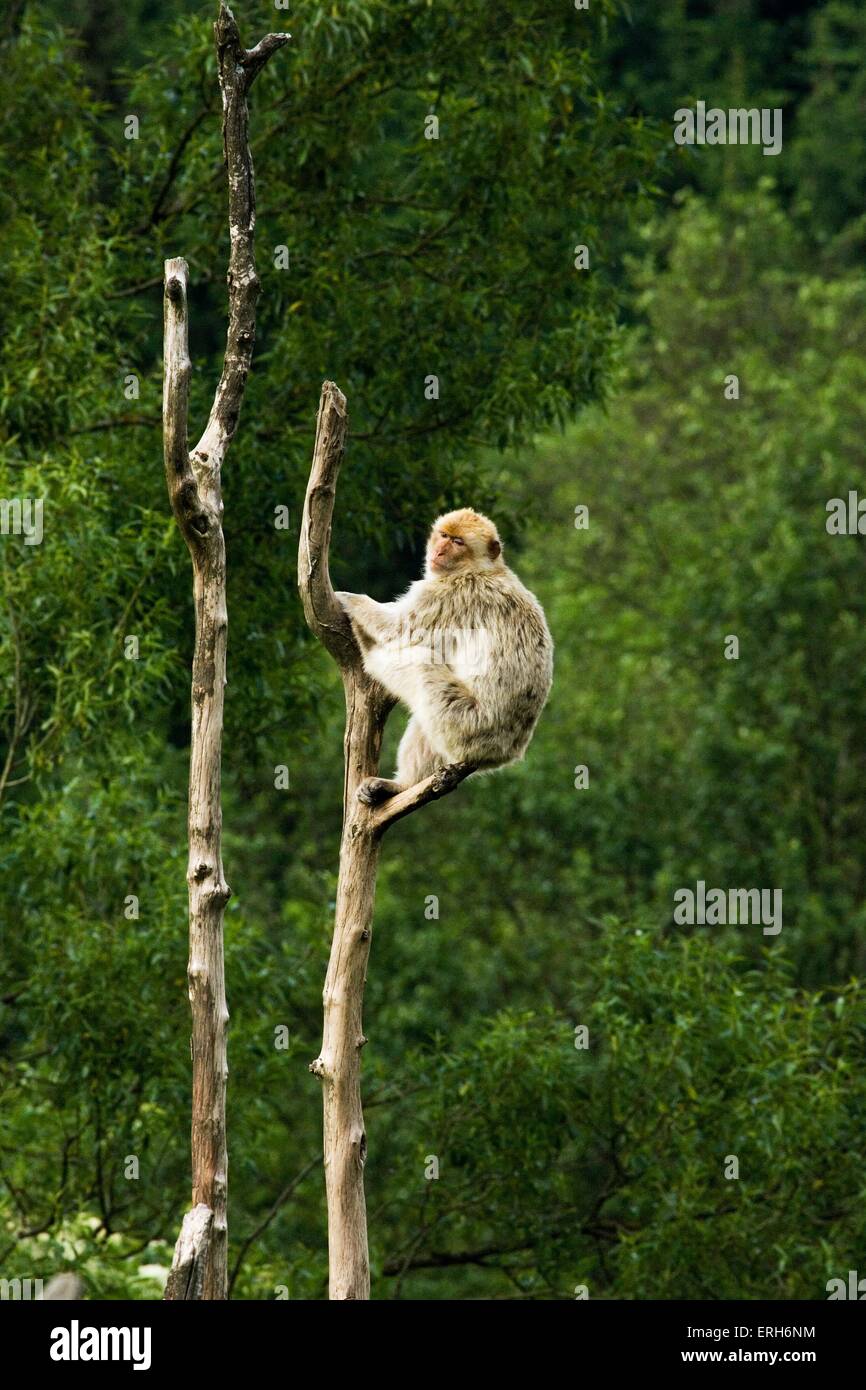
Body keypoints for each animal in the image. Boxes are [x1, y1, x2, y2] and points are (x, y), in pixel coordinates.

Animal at [335, 508, 553, 806]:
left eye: (458, 542)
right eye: (444, 535)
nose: (439, 551)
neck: (481, 568)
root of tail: (506, 752)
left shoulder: (448, 594)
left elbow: (396, 627)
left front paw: (349, 599)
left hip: (467, 725)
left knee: (419, 665)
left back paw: (370, 654)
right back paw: (401, 786)